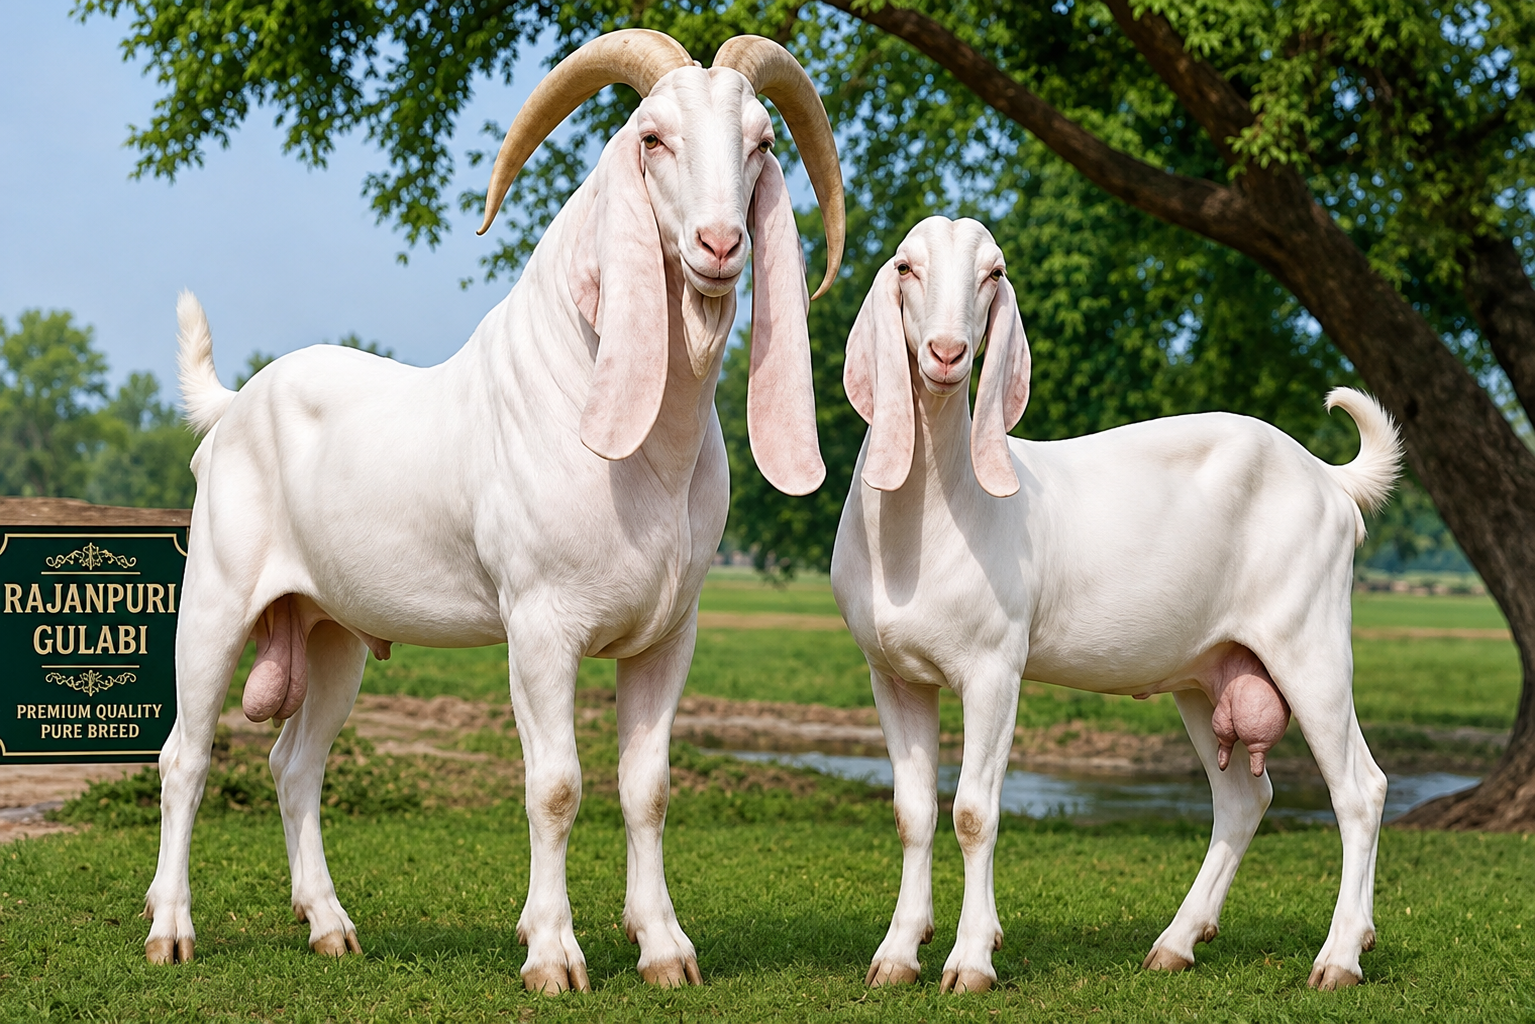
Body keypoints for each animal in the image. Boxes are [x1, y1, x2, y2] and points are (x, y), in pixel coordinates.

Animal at [146, 31, 845, 995]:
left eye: (762, 143)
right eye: (652, 139)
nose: (719, 243)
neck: (645, 455)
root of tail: (235, 406)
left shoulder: (672, 631)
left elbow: (648, 785)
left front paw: (665, 950)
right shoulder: (541, 625)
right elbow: (554, 785)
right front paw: (552, 955)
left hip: (330, 633)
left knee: (295, 765)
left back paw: (329, 927)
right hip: (213, 602)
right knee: (186, 757)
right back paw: (170, 932)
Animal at [830, 216, 1401, 993]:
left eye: (993, 273)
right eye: (904, 267)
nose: (946, 353)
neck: (932, 519)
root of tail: (1327, 477)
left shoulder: (993, 667)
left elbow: (974, 811)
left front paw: (971, 961)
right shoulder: (890, 673)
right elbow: (912, 812)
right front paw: (895, 956)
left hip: (1308, 638)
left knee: (1359, 789)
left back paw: (1340, 956)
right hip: (1207, 670)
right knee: (1243, 800)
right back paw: (1178, 943)